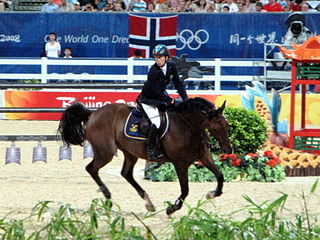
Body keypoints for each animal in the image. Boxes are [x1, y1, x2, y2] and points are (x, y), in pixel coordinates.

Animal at [58, 96, 232, 215]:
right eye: (217, 126)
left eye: (227, 125)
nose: (228, 149)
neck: (188, 127)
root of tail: (93, 113)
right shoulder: (179, 163)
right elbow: (185, 189)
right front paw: (172, 208)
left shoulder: (204, 157)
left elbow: (220, 176)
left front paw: (212, 194)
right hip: (105, 152)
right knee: (91, 168)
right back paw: (108, 197)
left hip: (129, 152)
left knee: (126, 173)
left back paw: (148, 202)